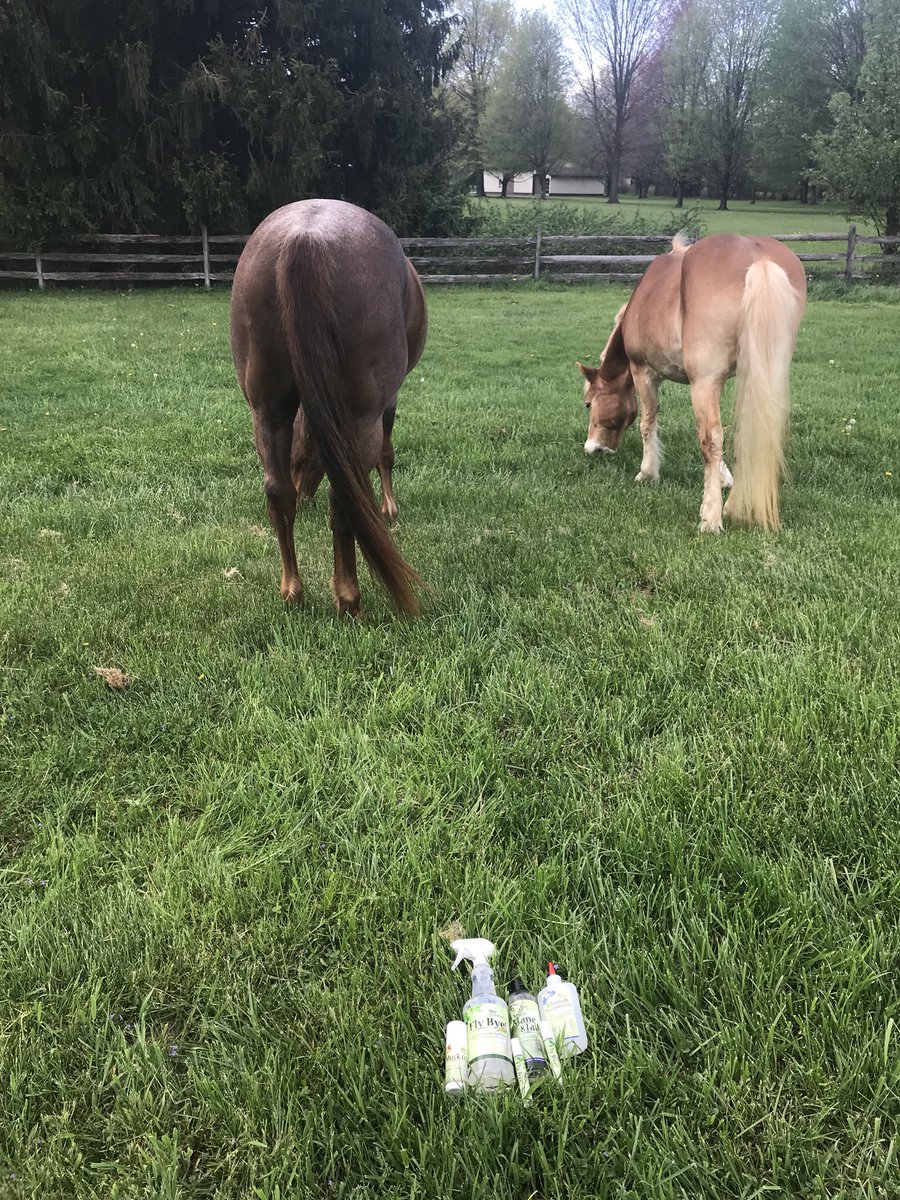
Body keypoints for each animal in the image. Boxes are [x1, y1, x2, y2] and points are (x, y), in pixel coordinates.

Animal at [230, 199, 427, 615]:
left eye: (300, 461)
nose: (306, 493)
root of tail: (303, 240)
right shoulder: (387, 402)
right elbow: (386, 454)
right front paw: (388, 508)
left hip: (267, 409)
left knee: (277, 492)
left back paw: (292, 590)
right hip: (361, 415)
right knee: (343, 499)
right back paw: (348, 598)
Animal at [578, 233, 807, 532]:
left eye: (588, 404)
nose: (593, 448)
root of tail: (759, 259)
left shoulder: (645, 373)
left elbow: (647, 423)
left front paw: (647, 473)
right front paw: (724, 478)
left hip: (704, 383)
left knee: (711, 439)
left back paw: (711, 517)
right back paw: (731, 505)